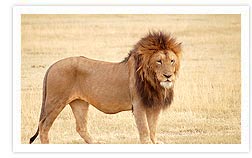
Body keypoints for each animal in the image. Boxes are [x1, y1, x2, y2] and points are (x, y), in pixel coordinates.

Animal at [29, 31, 182, 144]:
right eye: (159, 61)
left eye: (172, 61)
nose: (168, 76)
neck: (154, 82)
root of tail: (52, 65)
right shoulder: (138, 105)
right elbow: (144, 129)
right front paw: (147, 143)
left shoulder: (153, 105)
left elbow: (153, 128)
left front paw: (155, 142)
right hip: (56, 101)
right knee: (43, 126)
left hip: (79, 103)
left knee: (81, 127)